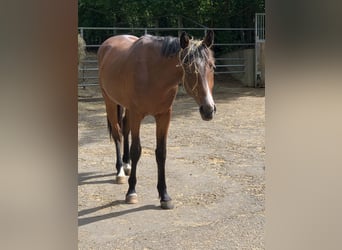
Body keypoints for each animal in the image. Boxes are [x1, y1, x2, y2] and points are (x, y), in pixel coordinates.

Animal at [97, 29, 215, 209]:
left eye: (211, 66)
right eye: (187, 67)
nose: (208, 109)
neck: (153, 73)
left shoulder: (164, 115)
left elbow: (161, 152)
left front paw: (164, 195)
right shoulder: (137, 114)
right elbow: (136, 150)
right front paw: (131, 192)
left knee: (124, 128)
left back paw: (127, 164)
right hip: (109, 101)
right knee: (117, 134)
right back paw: (120, 171)